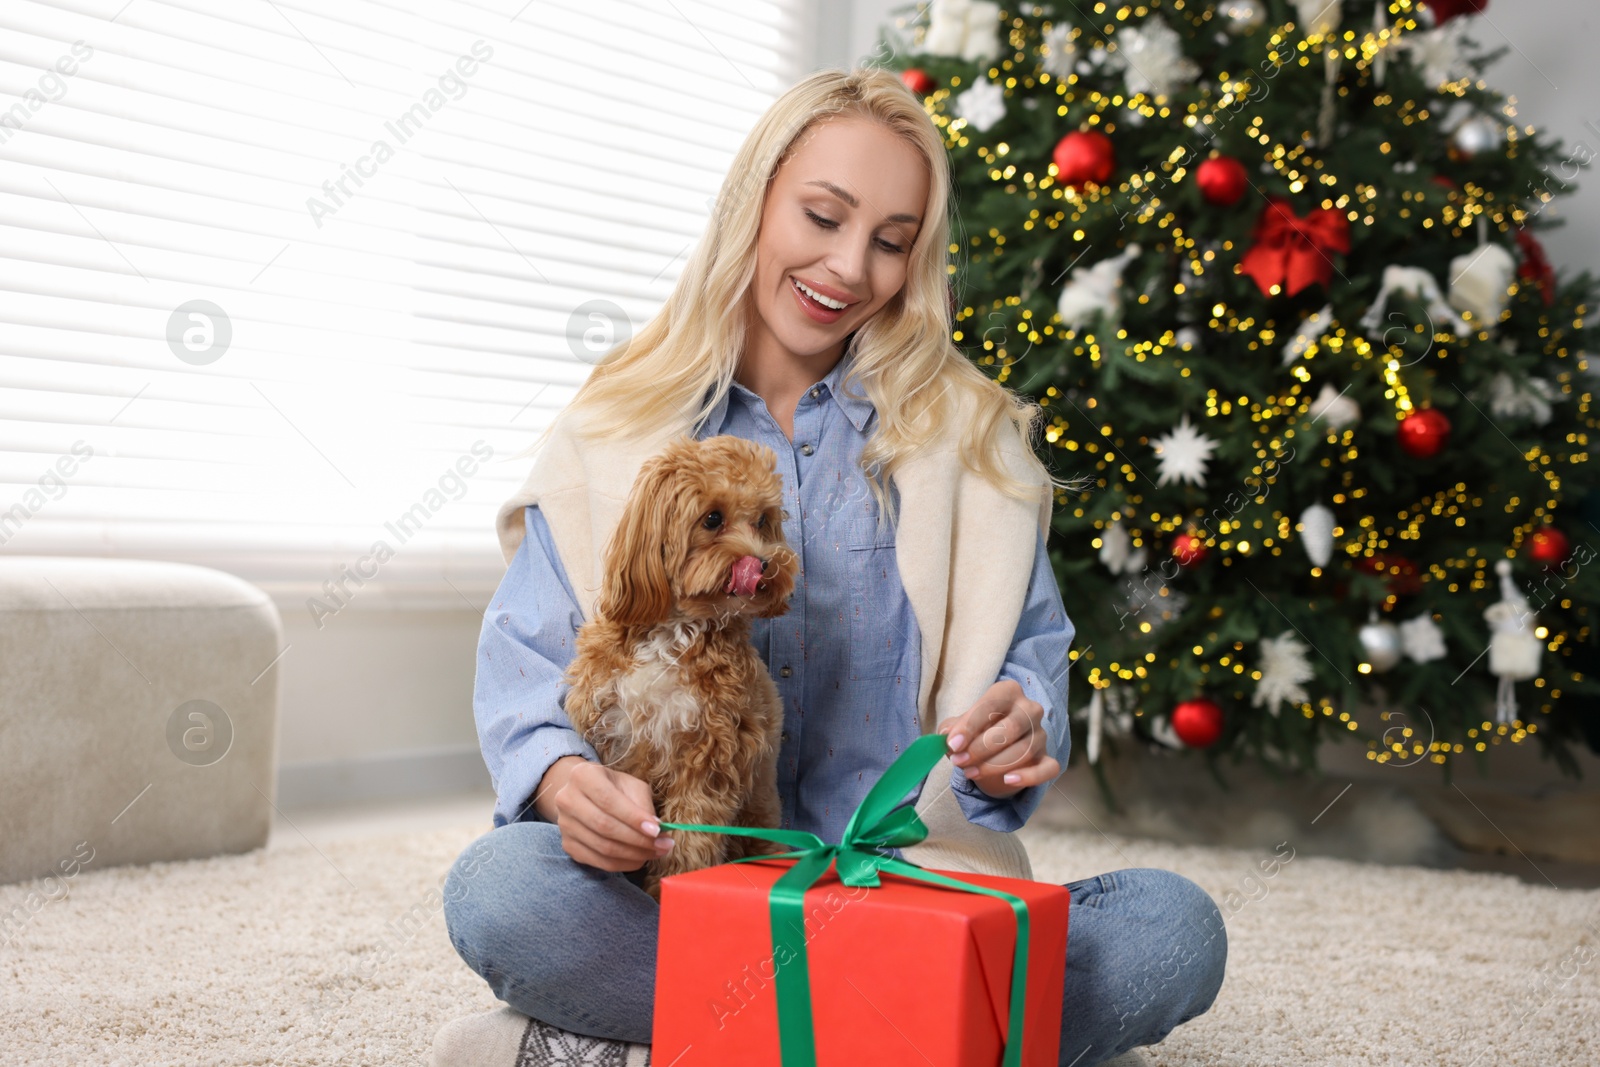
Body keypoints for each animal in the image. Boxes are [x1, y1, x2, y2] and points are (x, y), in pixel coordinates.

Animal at [563, 435, 800, 902]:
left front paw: (666, 893)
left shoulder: (710, 757)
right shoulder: (616, 736)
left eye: (762, 521)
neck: (674, 632)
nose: (766, 565)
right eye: (713, 518)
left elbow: (690, 840)